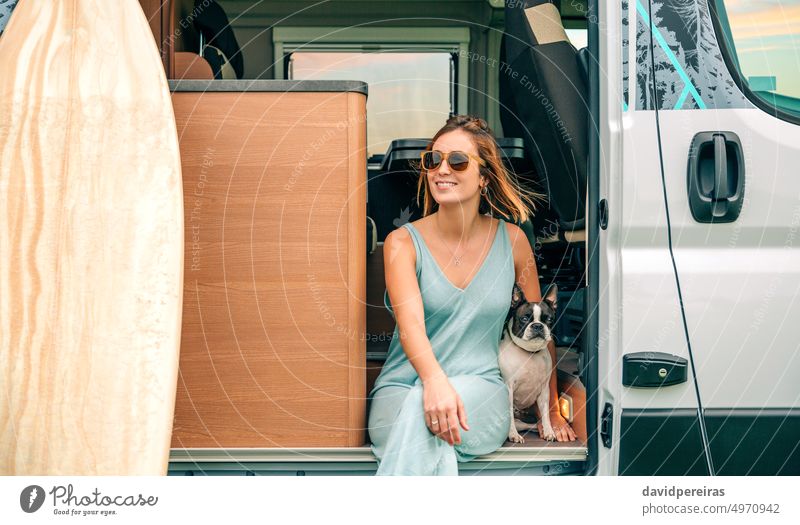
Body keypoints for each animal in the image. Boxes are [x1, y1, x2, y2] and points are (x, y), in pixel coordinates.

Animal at [496, 282, 560, 442]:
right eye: (524, 319)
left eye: (548, 319)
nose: (537, 326)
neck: (530, 353)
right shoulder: (509, 388)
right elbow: (509, 413)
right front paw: (513, 435)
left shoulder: (544, 390)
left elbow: (545, 413)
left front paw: (549, 431)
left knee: (530, 425)